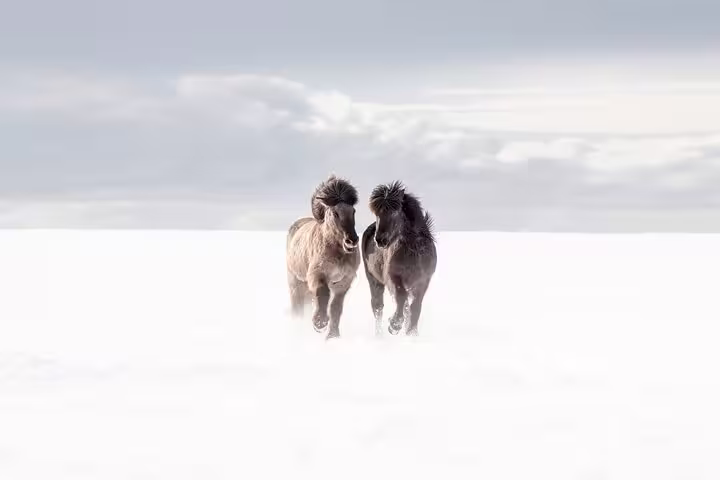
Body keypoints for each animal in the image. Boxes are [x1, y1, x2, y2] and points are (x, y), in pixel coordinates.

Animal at [286, 175, 361, 339]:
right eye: (335, 213)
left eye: (353, 211)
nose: (352, 240)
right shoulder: (318, 274)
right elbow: (323, 294)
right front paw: (319, 323)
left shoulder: (343, 282)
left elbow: (336, 308)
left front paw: (333, 336)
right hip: (295, 283)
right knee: (297, 307)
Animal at [361, 181, 437, 336]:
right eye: (377, 214)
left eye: (395, 212)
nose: (380, 240)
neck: (414, 252)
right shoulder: (395, 277)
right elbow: (401, 298)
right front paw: (394, 325)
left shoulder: (424, 280)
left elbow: (416, 307)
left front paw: (412, 333)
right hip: (374, 280)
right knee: (378, 307)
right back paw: (380, 335)